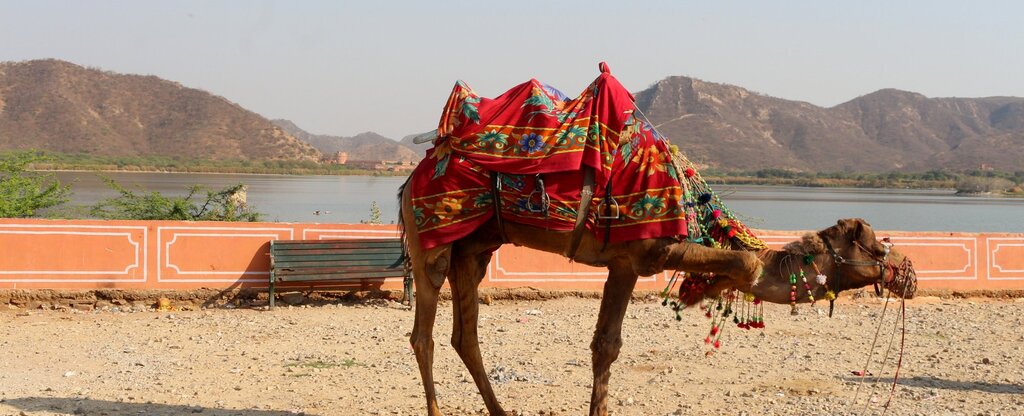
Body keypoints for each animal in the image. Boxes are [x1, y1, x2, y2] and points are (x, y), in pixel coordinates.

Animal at [399, 178, 765, 416]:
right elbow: (750, 262)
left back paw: (500, 411)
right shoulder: (650, 250)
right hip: (430, 243)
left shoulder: (624, 263)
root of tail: (408, 183)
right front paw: (701, 291)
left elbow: (607, 344)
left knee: (464, 336)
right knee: (423, 334)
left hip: (472, 252)